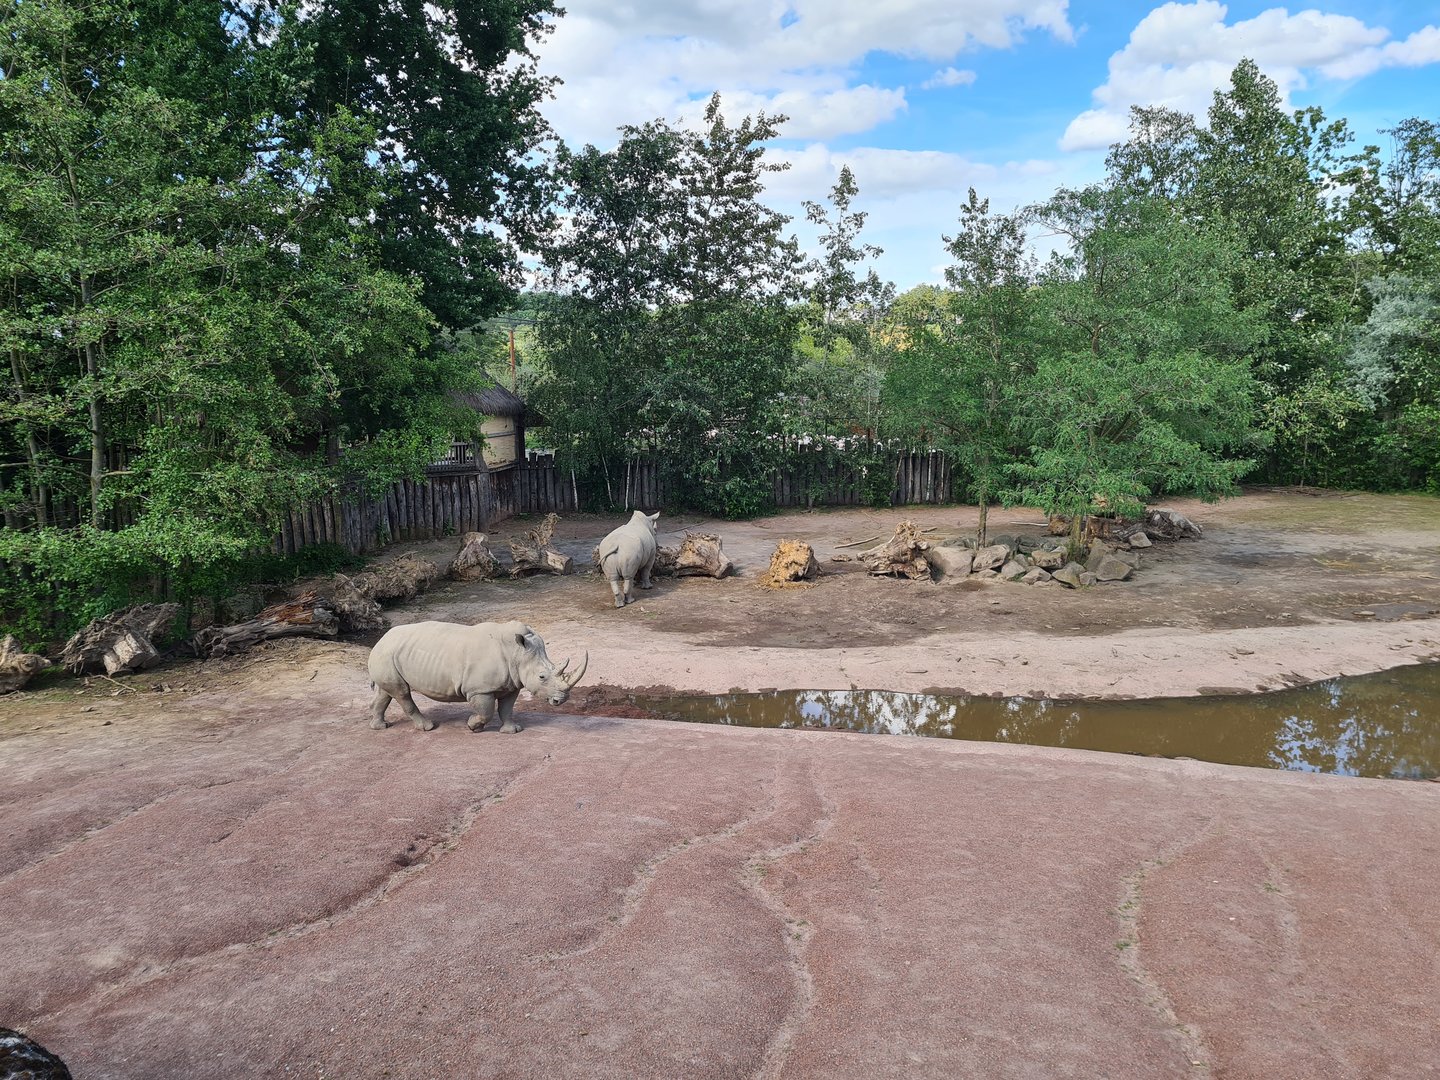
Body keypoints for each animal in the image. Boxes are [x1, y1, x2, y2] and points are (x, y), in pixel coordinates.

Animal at [367, 620, 587, 733]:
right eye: (542, 677)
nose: (561, 700)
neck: (517, 653)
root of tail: (380, 640)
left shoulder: (512, 684)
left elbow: (507, 708)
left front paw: (512, 730)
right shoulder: (479, 689)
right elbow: (486, 711)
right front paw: (473, 726)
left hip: (390, 655)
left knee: (386, 692)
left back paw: (380, 727)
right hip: (387, 654)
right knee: (402, 692)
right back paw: (428, 727)